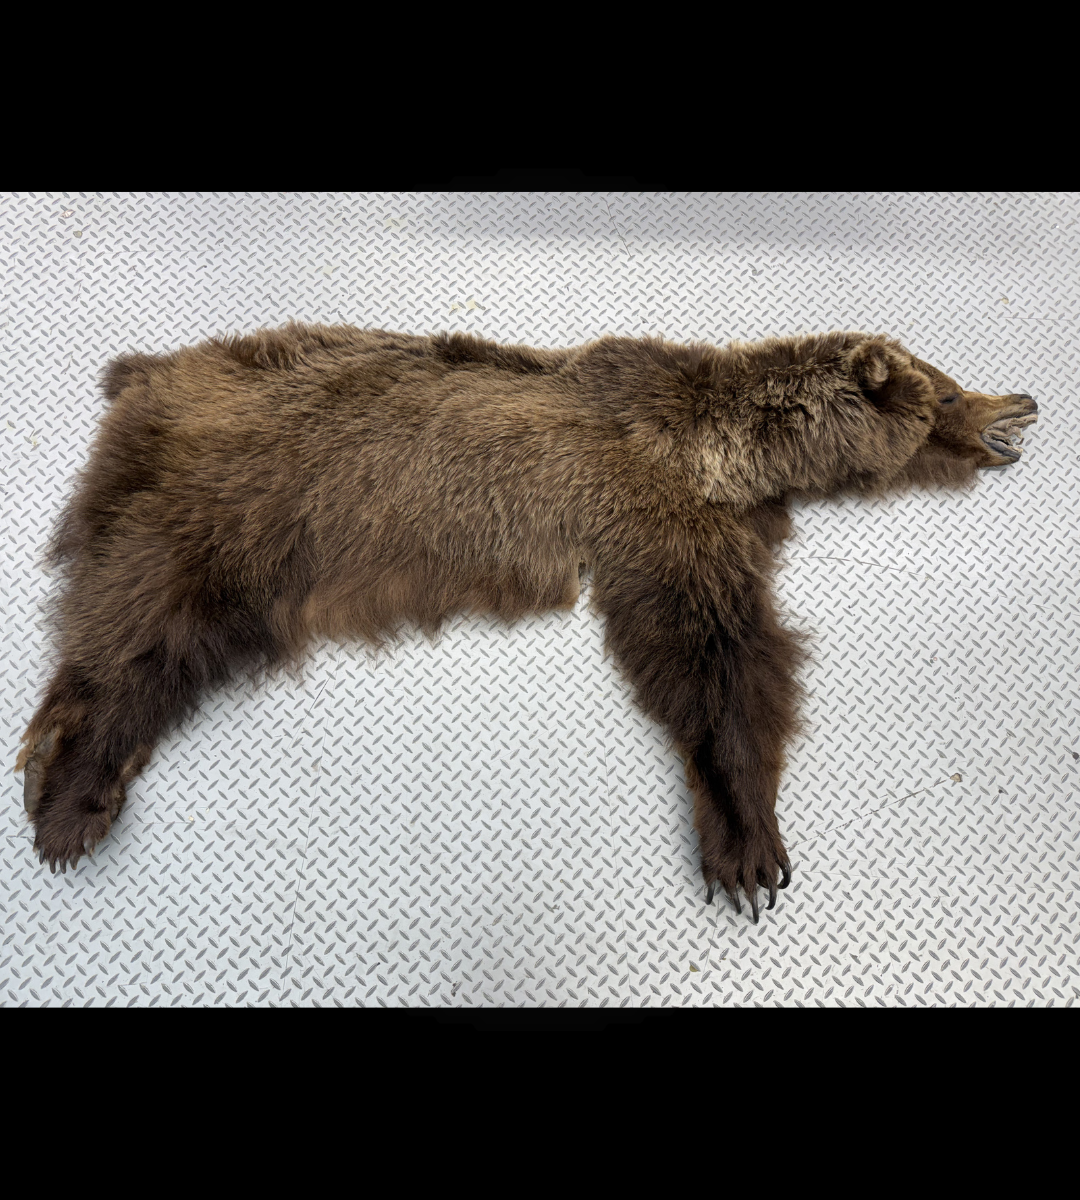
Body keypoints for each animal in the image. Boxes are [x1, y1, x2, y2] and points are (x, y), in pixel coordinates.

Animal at [15, 323, 1038, 920]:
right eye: (946, 389)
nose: (1022, 401)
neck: (727, 450)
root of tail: (152, 377)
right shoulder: (654, 513)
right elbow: (712, 662)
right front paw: (750, 844)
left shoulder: (696, 522)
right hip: (237, 509)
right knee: (136, 632)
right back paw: (73, 797)